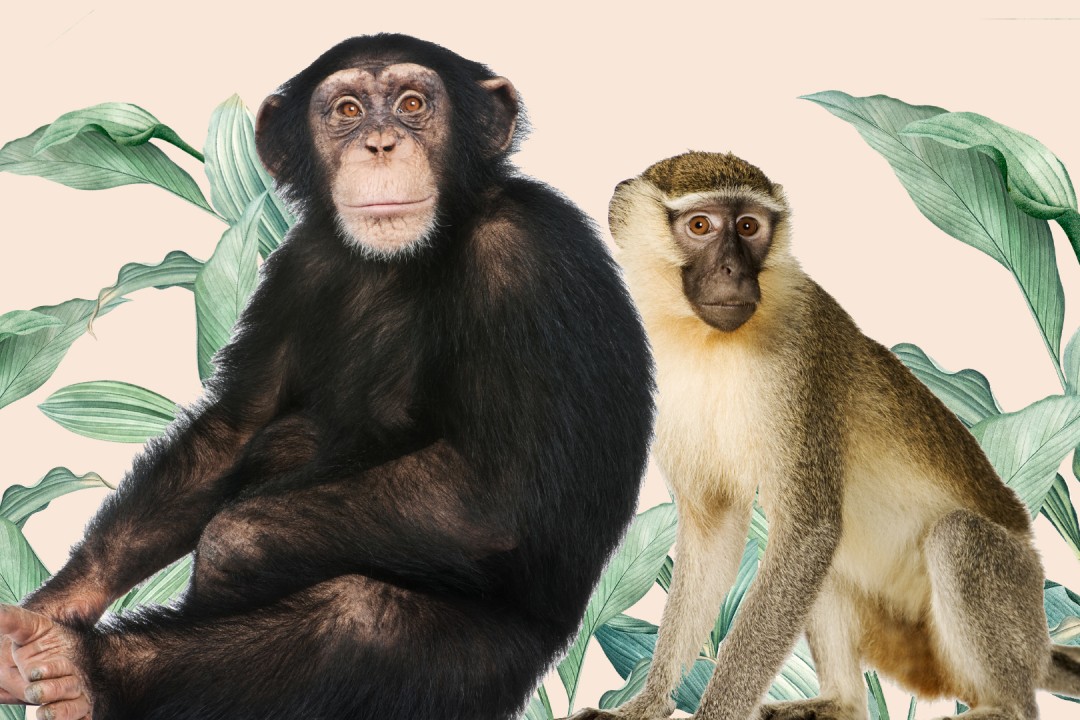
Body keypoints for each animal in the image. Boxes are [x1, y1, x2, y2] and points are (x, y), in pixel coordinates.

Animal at [0, 34, 655, 720]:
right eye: (346, 110)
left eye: (413, 103)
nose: (381, 143)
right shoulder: (297, 262)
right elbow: (237, 425)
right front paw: (55, 603)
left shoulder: (526, 259)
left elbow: (500, 493)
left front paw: (228, 551)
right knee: (284, 439)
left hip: (495, 669)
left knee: (359, 620)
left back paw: (85, 672)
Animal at [569, 151, 1080, 720]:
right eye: (700, 226)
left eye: (749, 227)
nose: (732, 271)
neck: (707, 342)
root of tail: (1039, 641)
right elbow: (716, 529)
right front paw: (645, 705)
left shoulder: (802, 355)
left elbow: (808, 531)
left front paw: (715, 713)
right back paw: (841, 702)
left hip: (1016, 593)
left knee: (956, 537)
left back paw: (1005, 707)